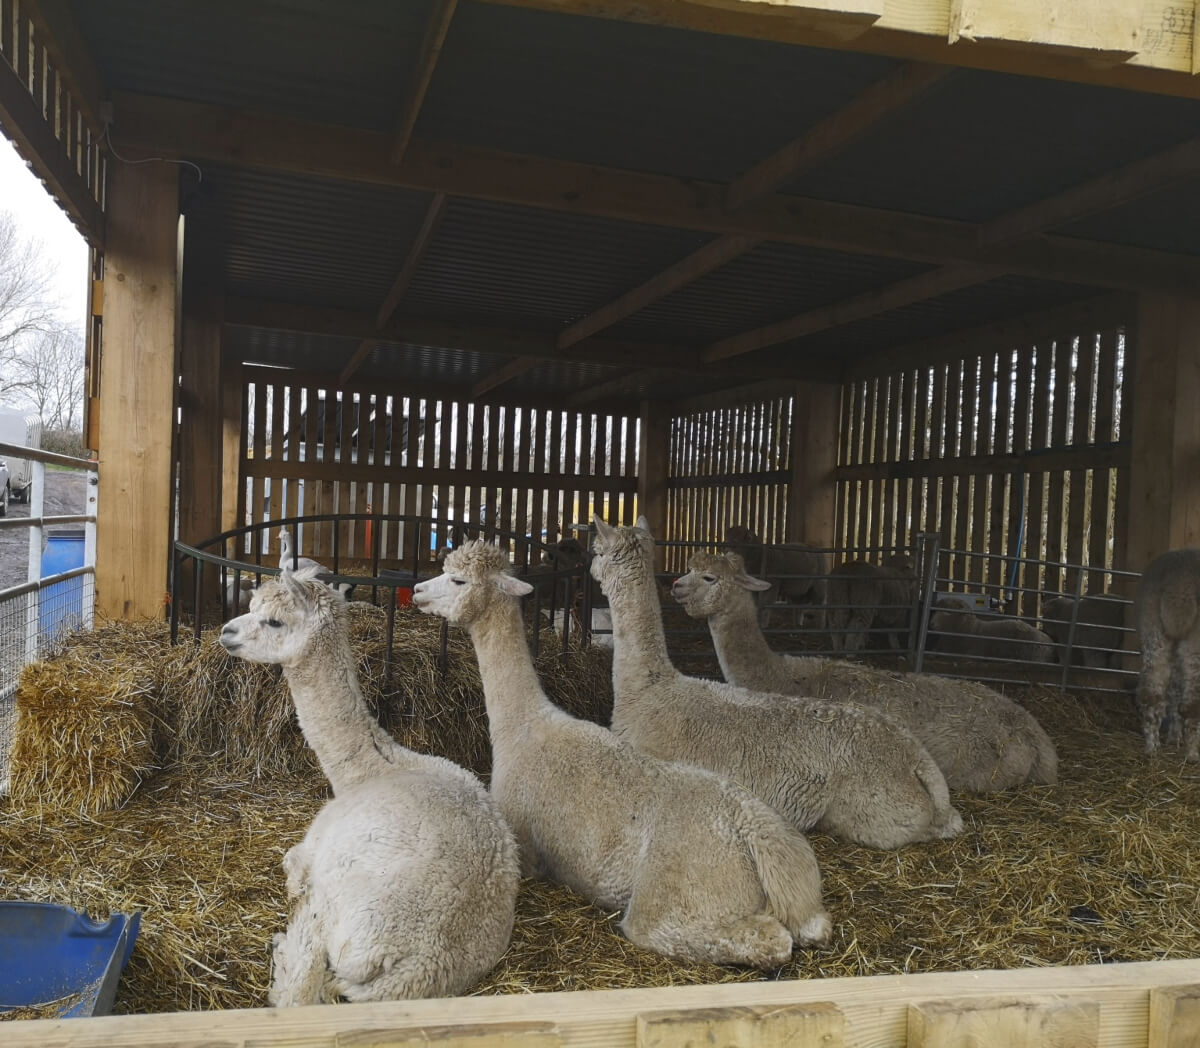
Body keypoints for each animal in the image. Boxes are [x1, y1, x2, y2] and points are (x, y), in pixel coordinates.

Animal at [218, 564, 518, 1003]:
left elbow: (292, 863)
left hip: (341, 897)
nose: (227, 632)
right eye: (252, 604)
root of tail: (417, 964)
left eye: (273, 620)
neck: (372, 768)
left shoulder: (316, 847)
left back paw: (281, 950)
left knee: (303, 977)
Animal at [408, 545, 830, 969]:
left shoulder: (524, 847)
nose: (417, 591)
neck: (523, 728)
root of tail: (758, 836)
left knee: (758, 938)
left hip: (681, 892)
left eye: (458, 580)